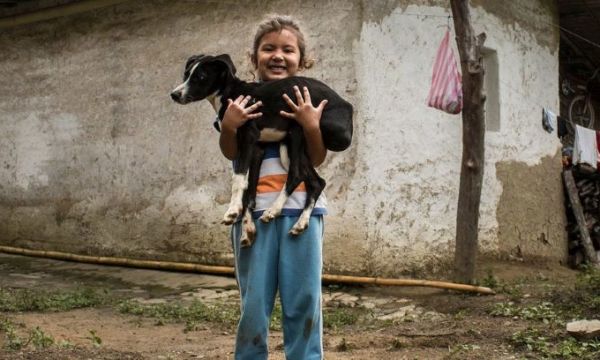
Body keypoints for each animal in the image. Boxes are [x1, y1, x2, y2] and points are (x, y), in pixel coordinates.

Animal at [169, 54, 354, 248]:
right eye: (186, 74)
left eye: (201, 76)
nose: (174, 95)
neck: (231, 94)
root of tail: (348, 107)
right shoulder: (256, 149)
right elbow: (249, 189)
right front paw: (247, 228)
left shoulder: (248, 137)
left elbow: (238, 179)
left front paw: (232, 210)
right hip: (292, 145)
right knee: (317, 181)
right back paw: (300, 222)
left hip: (299, 128)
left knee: (297, 174)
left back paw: (274, 210)